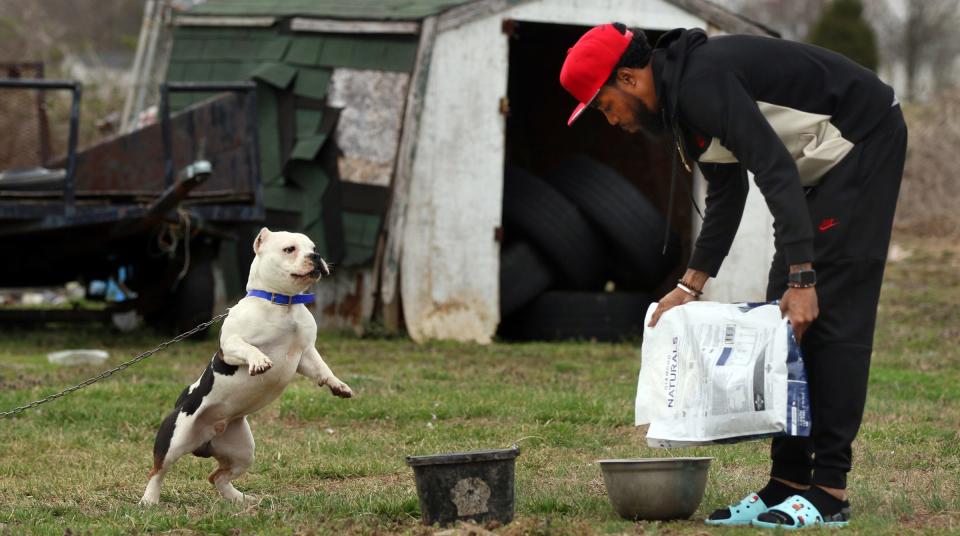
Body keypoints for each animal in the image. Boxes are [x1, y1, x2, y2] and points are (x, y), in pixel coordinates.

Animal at [139, 228, 352, 504]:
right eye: (289, 249)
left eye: (313, 248)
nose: (316, 256)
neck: (282, 303)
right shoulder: (229, 346)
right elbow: (249, 348)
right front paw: (260, 361)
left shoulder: (305, 354)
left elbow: (322, 368)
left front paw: (338, 385)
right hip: (174, 440)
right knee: (158, 470)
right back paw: (149, 500)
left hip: (242, 452)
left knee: (217, 477)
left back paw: (240, 499)